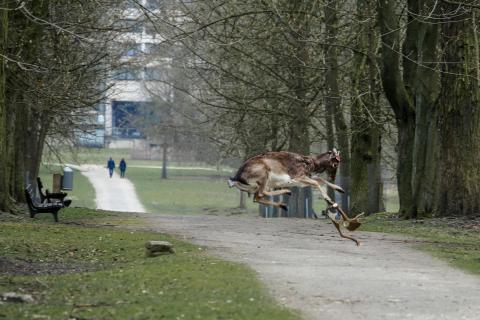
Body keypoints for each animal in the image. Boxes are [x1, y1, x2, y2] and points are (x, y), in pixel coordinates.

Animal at [229, 149, 364, 245]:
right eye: (335, 163)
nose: (333, 177)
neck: (310, 164)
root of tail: (235, 179)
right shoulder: (296, 177)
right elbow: (316, 181)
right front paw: (329, 200)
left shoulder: (301, 180)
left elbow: (318, 179)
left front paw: (340, 189)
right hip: (264, 175)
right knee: (262, 193)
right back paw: (286, 194)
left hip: (259, 185)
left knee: (257, 197)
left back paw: (284, 203)